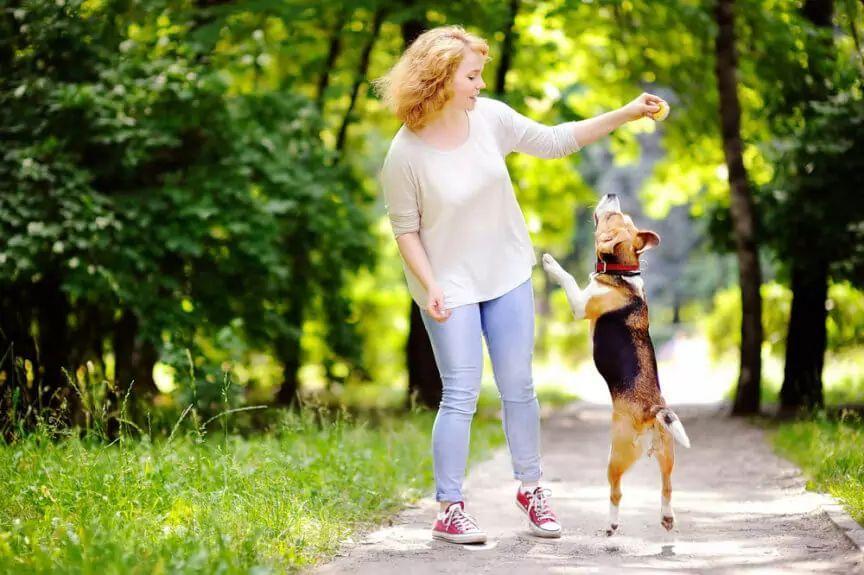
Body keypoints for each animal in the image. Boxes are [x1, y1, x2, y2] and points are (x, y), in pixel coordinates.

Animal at [544, 194, 692, 536]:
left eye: (613, 217)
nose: (611, 194)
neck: (623, 275)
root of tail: (653, 410)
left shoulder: (580, 305)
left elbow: (568, 278)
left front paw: (550, 263)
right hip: (668, 454)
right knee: (667, 488)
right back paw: (667, 518)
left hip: (617, 455)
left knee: (616, 491)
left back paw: (611, 524)